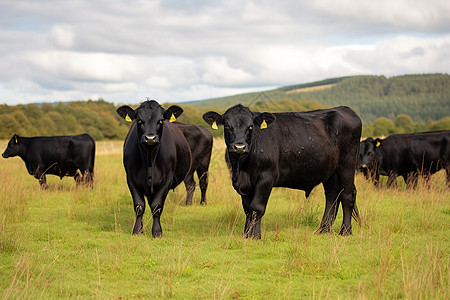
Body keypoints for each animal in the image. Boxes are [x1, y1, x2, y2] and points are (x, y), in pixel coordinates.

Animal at [116, 100, 192, 237]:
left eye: (161, 120)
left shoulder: (167, 180)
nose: (150, 138)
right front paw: (137, 230)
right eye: (139, 120)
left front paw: (157, 232)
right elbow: (139, 205)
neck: (150, 159)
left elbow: (157, 206)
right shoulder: (131, 179)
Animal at [204, 104, 362, 238]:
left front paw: (256, 236)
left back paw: (345, 231)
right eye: (227, 126)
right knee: (332, 195)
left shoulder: (266, 178)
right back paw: (323, 229)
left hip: (347, 164)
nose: (239, 147)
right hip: (330, 170)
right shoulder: (243, 184)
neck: (242, 168)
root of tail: (344, 108)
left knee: (347, 195)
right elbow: (248, 209)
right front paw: (246, 234)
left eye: (250, 127)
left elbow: (257, 207)